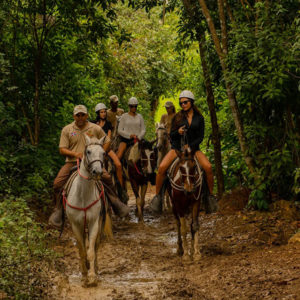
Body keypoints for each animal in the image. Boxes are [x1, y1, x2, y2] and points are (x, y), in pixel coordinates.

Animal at [64, 135, 112, 288]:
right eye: (88, 151)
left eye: (103, 153)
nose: (97, 172)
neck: (83, 195)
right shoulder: (76, 225)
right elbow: (82, 250)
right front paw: (84, 276)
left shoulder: (94, 223)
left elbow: (91, 251)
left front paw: (92, 276)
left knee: (95, 246)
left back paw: (95, 269)